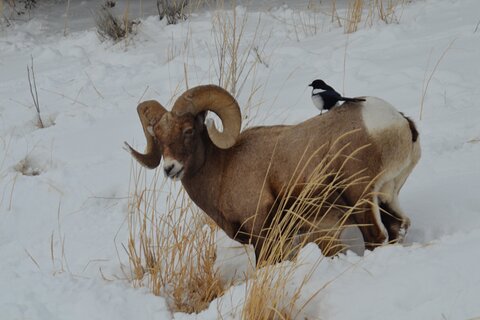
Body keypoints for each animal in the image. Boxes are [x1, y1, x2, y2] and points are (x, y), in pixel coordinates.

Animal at [126, 84, 420, 262]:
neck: (223, 168)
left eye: (188, 130)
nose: (170, 168)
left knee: (376, 237)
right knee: (397, 226)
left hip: (360, 197)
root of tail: (399, 123)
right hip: (386, 196)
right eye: (158, 136)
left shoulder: (262, 233)